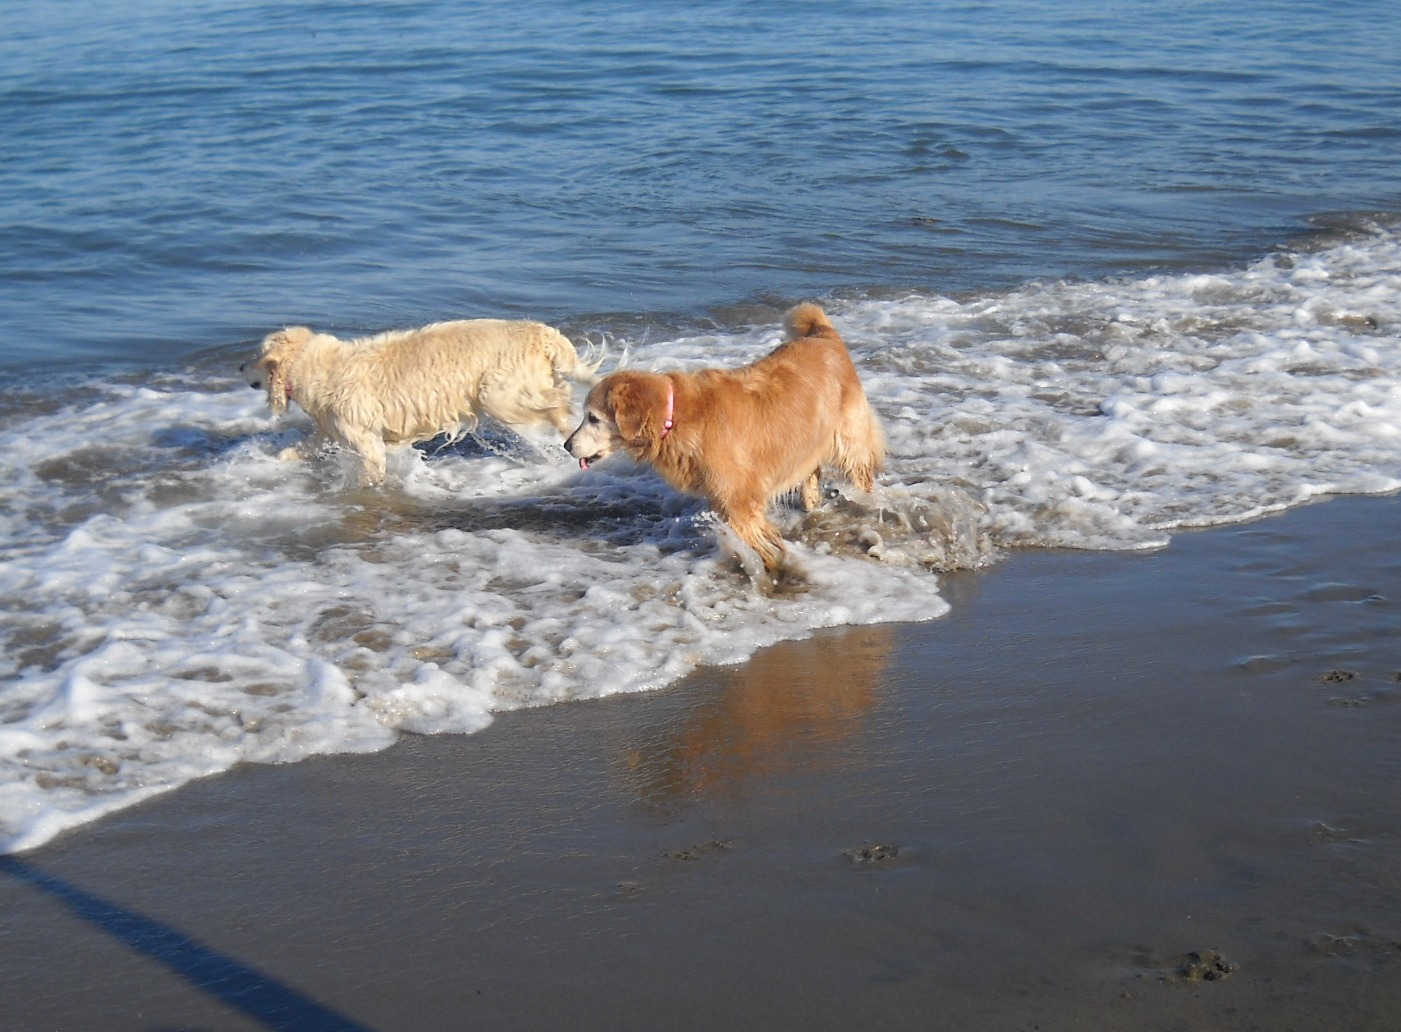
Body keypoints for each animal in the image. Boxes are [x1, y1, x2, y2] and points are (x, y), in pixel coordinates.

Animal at [243, 319, 598, 484]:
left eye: (256, 356)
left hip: (500, 395)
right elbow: (305, 445)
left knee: (557, 406)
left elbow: (371, 466)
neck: (315, 364)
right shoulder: (332, 428)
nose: (240, 369)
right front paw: (283, 457)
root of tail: (545, 334)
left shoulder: (364, 438)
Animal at [565, 303, 885, 577]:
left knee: (860, 472)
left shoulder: (739, 500)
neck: (675, 415)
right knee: (811, 476)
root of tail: (823, 334)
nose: (566, 445)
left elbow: (758, 541)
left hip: (849, 440)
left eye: (592, 417)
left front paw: (776, 566)